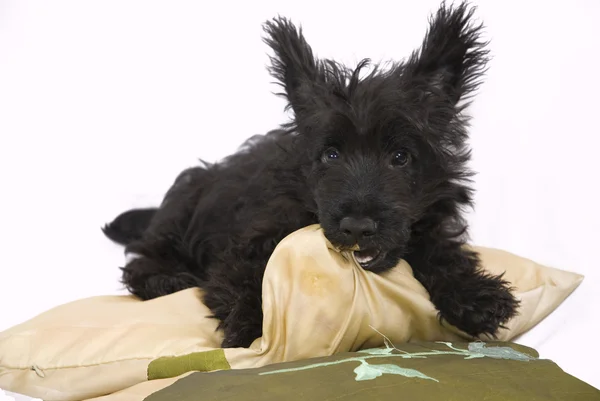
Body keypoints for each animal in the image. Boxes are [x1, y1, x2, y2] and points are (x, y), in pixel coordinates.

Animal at [102, 1, 516, 346]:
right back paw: (168, 279)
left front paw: (477, 296)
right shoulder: (248, 242)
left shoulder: (429, 222)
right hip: (180, 211)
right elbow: (241, 275)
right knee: (141, 261)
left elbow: (443, 252)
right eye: (330, 154)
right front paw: (251, 325)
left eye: (400, 156)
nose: (357, 227)